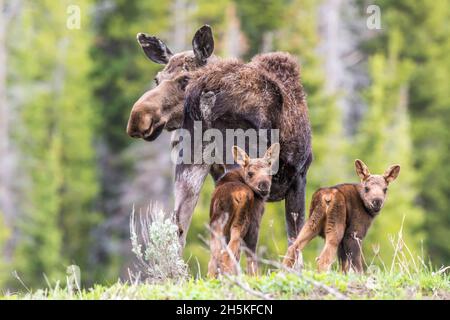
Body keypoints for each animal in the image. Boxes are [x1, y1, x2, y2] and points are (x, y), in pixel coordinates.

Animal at [125, 25, 312, 250]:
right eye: (157, 79)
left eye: (185, 79)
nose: (138, 117)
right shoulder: (299, 176)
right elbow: (295, 241)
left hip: (191, 160)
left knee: (180, 228)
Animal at [207, 143, 278, 278]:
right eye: (250, 173)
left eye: (270, 172)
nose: (264, 186)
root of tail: (238, 195)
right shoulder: (255, 223)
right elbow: (251, 257)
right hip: (242, 223)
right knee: (227, 255)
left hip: (217, 224)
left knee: (215, 256)